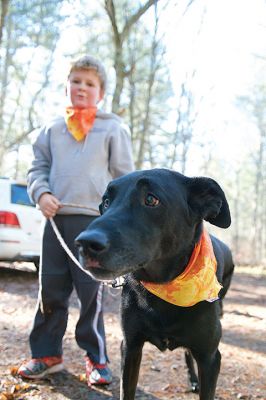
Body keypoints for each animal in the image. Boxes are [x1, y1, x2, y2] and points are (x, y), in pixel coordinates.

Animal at [76, 169, 234, 400]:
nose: (84, 243)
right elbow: (126, 391)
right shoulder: (130, 347)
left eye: (151, 199)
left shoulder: (210, 357)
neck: (164, 289)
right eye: (106, 201)